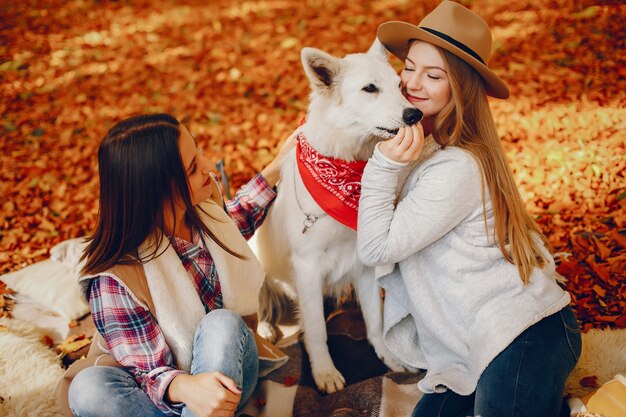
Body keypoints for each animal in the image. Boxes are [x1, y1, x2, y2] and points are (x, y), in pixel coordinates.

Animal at [252, 39, 420, 394]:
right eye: (370, 88)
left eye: (400, 86)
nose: (415, 114)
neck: (346, 168)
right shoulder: (307, 267)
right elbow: (317, 330)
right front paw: (325, 373)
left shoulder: (365, 266)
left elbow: (375, 322)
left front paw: (388, 358)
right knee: (260, 303)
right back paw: (266, 328)